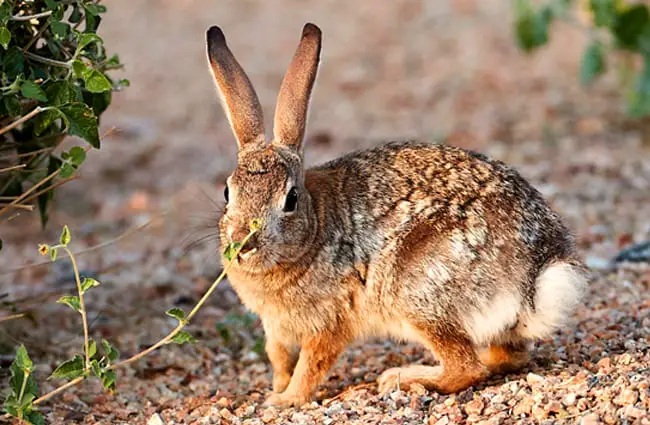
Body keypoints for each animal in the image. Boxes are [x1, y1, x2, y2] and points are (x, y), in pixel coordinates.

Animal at [205, 22, 584, 404]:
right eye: (227, 192)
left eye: (291, 199)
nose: (243, 243)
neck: (312, 232)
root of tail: (534, 276)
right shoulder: (275, 327)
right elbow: (278, 356)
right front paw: (276, 389)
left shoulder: (331, 319)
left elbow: (312, 363)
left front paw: (284, 400)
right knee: (506, 357)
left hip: (416, 293)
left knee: (465, 367)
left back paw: (401, 377)